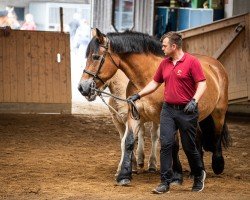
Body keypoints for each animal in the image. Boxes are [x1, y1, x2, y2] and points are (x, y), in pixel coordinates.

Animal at [78, 28, 230, 186]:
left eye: (95, 57)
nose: (82, 87)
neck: (148, 77)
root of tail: (216, 66)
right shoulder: (133, 115)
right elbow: (128, 141)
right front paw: (124, 175)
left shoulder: (168, 117)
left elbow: (173, 145)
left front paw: (176, 176)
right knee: (197, 138)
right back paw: (197, 172)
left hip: (219, 112)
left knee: (217, 135)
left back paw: (217, 165)